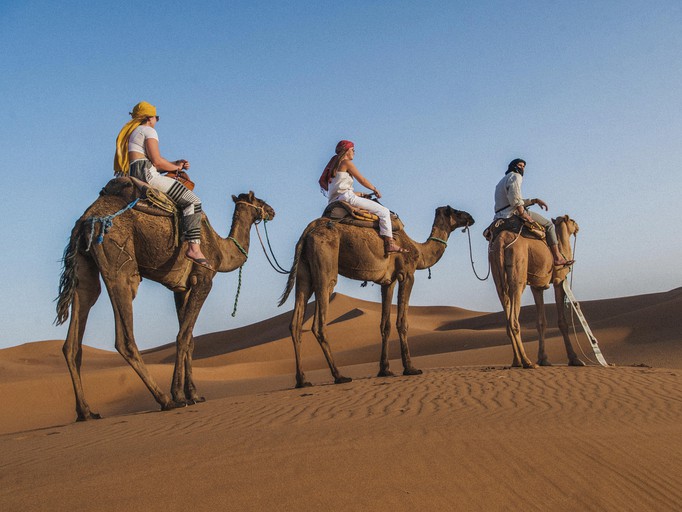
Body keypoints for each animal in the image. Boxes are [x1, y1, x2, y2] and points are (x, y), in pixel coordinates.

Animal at [55, 182, 274, 422]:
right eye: (260, 201)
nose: (272, 211)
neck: (220, 249)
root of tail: (85, 221)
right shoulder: (203, 280)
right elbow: (182, 336)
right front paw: (179, 394)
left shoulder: (181, 290)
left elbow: (189, 339)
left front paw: (194, 394)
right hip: (119, 265)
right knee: (124, 338)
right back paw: (165, 400)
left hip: (84, 268)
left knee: (76, 331)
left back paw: (85, 412)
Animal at [276, 206, 472, 386]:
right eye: (456, 211)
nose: (470, 217)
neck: (418, 250)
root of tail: (308, 230)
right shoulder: (407, 274)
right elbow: (402, 322)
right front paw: (410, 368)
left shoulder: (388, 282)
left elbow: (385, 325)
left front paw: (385, 370)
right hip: (326, 264)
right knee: (319, 322)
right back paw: (339, 376)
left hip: (304, 272)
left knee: (295, 323)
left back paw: (302, 380)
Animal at [486, 215, 580, 368]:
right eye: (572, 220)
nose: (577, 226)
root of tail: (500, 241)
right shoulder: (559, 280)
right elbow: (562, 322)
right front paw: (574, 359)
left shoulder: (537, 286)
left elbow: (541, 322)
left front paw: (543, 359)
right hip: (518, 273)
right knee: (514, 319)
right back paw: (527, 361)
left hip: (496, 272)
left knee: (506, 314)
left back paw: (517, 361)